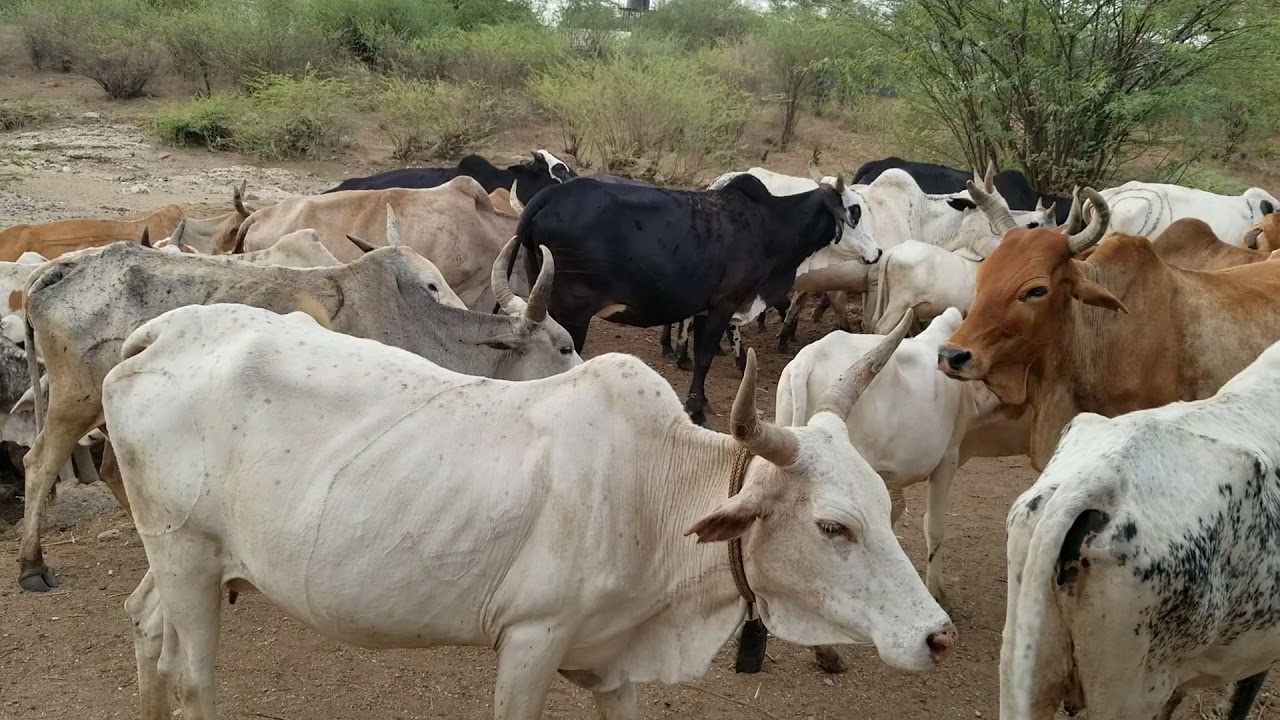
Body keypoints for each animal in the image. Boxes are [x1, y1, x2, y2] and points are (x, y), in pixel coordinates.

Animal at [14, 239, 577, 592]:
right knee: (38, 465)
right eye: (566, 346)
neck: (424, 326)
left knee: (112, 467)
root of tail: (53, 271)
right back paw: (32, 566)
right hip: (73, 400)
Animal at [105, 303, 954, 720]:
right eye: (833, 526)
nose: (936, 637)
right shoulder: (529, 640)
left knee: (144, 627)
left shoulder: (613, 663)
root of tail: (158, 331)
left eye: (885, 507)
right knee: (193, 680)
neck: (654, 491)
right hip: (186, 555)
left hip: (183, 556)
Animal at [509, 173, 862, 425]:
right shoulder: (724, 304)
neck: (767, 226)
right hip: (572, 311)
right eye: (854, 212)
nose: (873, 255)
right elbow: (704, 357)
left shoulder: (706, 308)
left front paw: (700, 398)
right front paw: (696, 408)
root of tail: (551, 195)